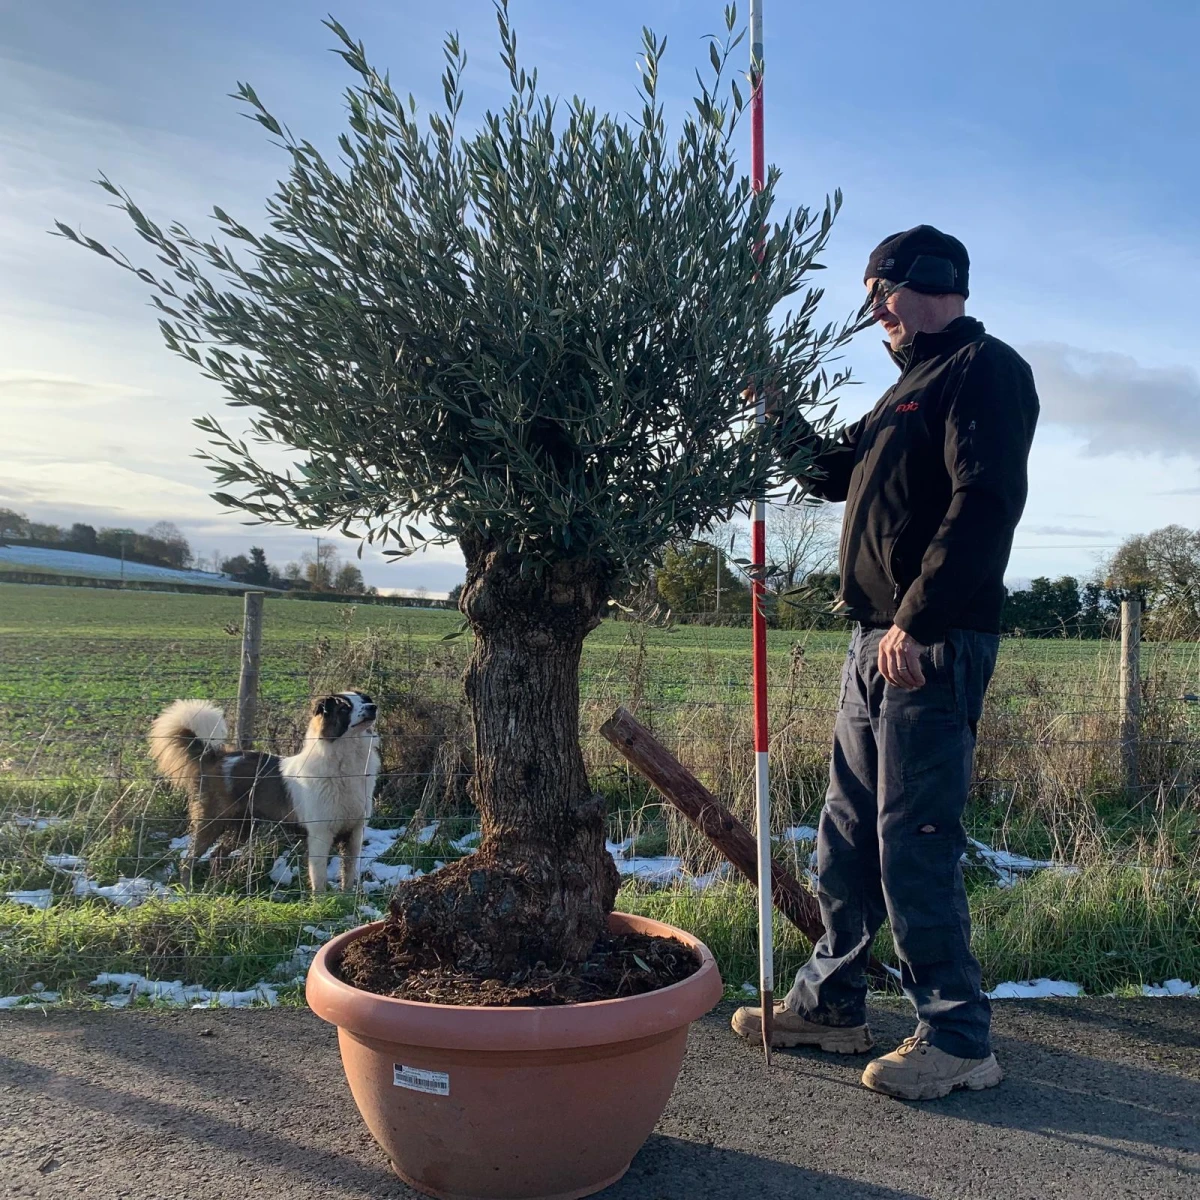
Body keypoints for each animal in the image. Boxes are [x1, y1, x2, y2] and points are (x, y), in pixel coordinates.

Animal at [148, 696, 379, 892]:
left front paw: (345, 899)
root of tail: (214, 756)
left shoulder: (354, 833)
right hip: (211, 822)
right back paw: (189, 891)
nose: (373, 707)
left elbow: (348, 874)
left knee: (216, 855)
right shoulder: (320, 834)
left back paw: (215, 888)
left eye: (364, 700)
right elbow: (319, 878)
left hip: (241, 828)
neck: (346, 759)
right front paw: (321, 904)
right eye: (344, 708)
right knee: (188, 860)